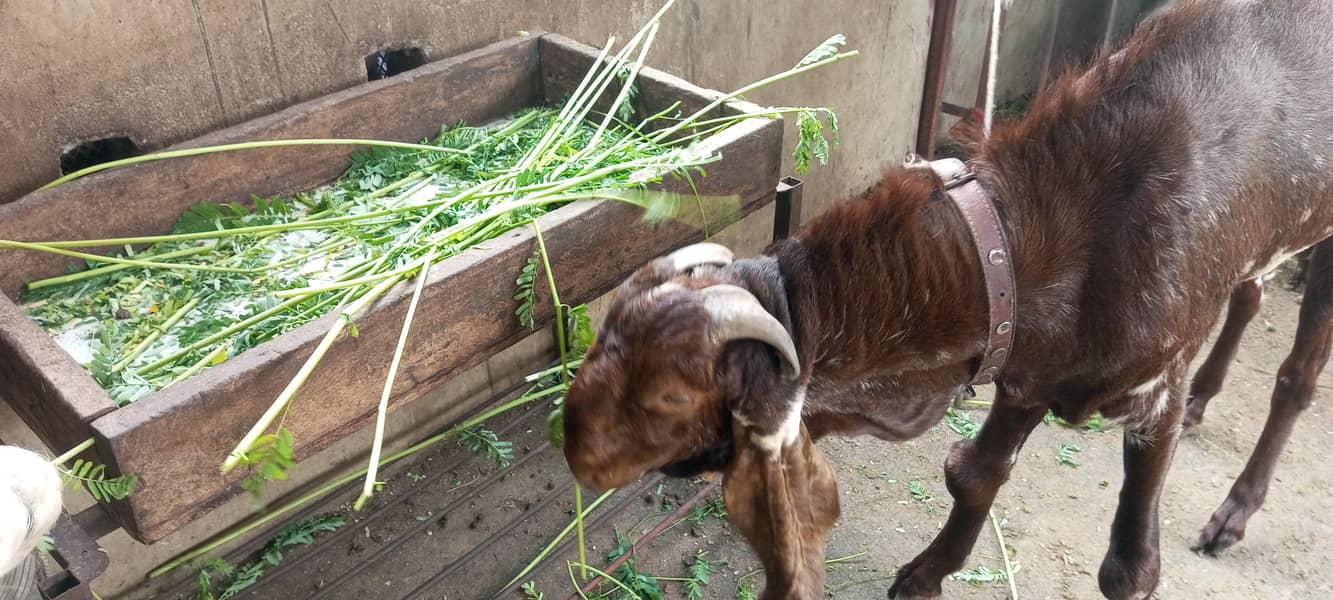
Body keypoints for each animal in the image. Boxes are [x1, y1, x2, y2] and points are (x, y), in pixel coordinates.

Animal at [561, 0, 1333, 598]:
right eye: (601, 342)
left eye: (668, 397)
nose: (572, 446)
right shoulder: (1021, 366)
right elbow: (973, 475)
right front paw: (924, 576)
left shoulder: (1151, 390)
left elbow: (1128, 571)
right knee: (1250, 293)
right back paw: (1209, 399)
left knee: (1296, 376)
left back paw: (1233, 512)